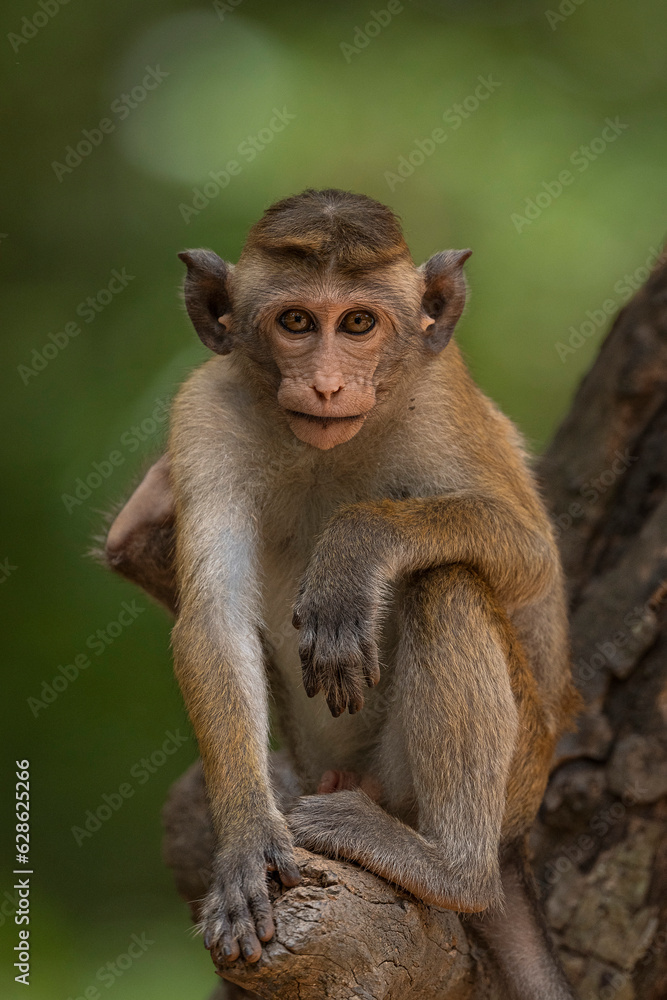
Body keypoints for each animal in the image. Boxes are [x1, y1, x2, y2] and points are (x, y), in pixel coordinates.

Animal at [103, 189, 580, 1000]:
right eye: (296, 322)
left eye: (358, 324)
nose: (326, 384)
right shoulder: (205, 415)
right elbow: (214, 619)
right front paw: (244, 841)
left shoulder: (439, 395)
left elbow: (531, 557)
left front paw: (352, 551)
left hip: (510, 773)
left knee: (447, 580)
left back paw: (451, 870)